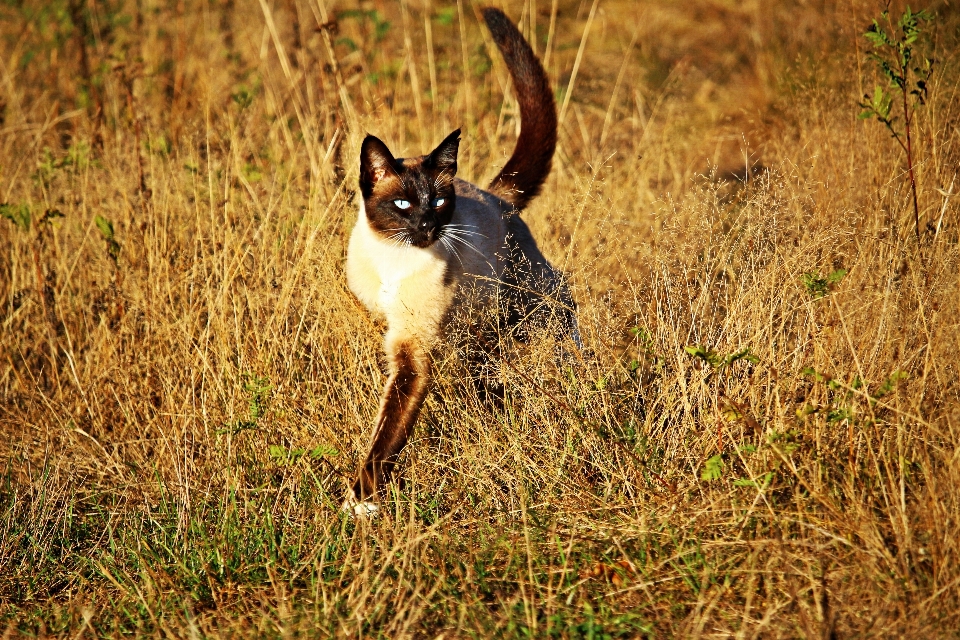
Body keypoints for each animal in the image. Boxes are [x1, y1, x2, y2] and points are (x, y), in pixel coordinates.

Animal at [344, 6, 576, 516]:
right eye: (404, 205)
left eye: (438, 202)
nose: (428, 228)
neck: (393, 260)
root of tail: (494, 194)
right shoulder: (389, 326)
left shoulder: (412, 350)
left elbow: (387, 432)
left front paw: (363, 500)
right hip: (478, 328)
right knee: (484, 368)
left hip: (526, 304)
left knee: (564, 308)